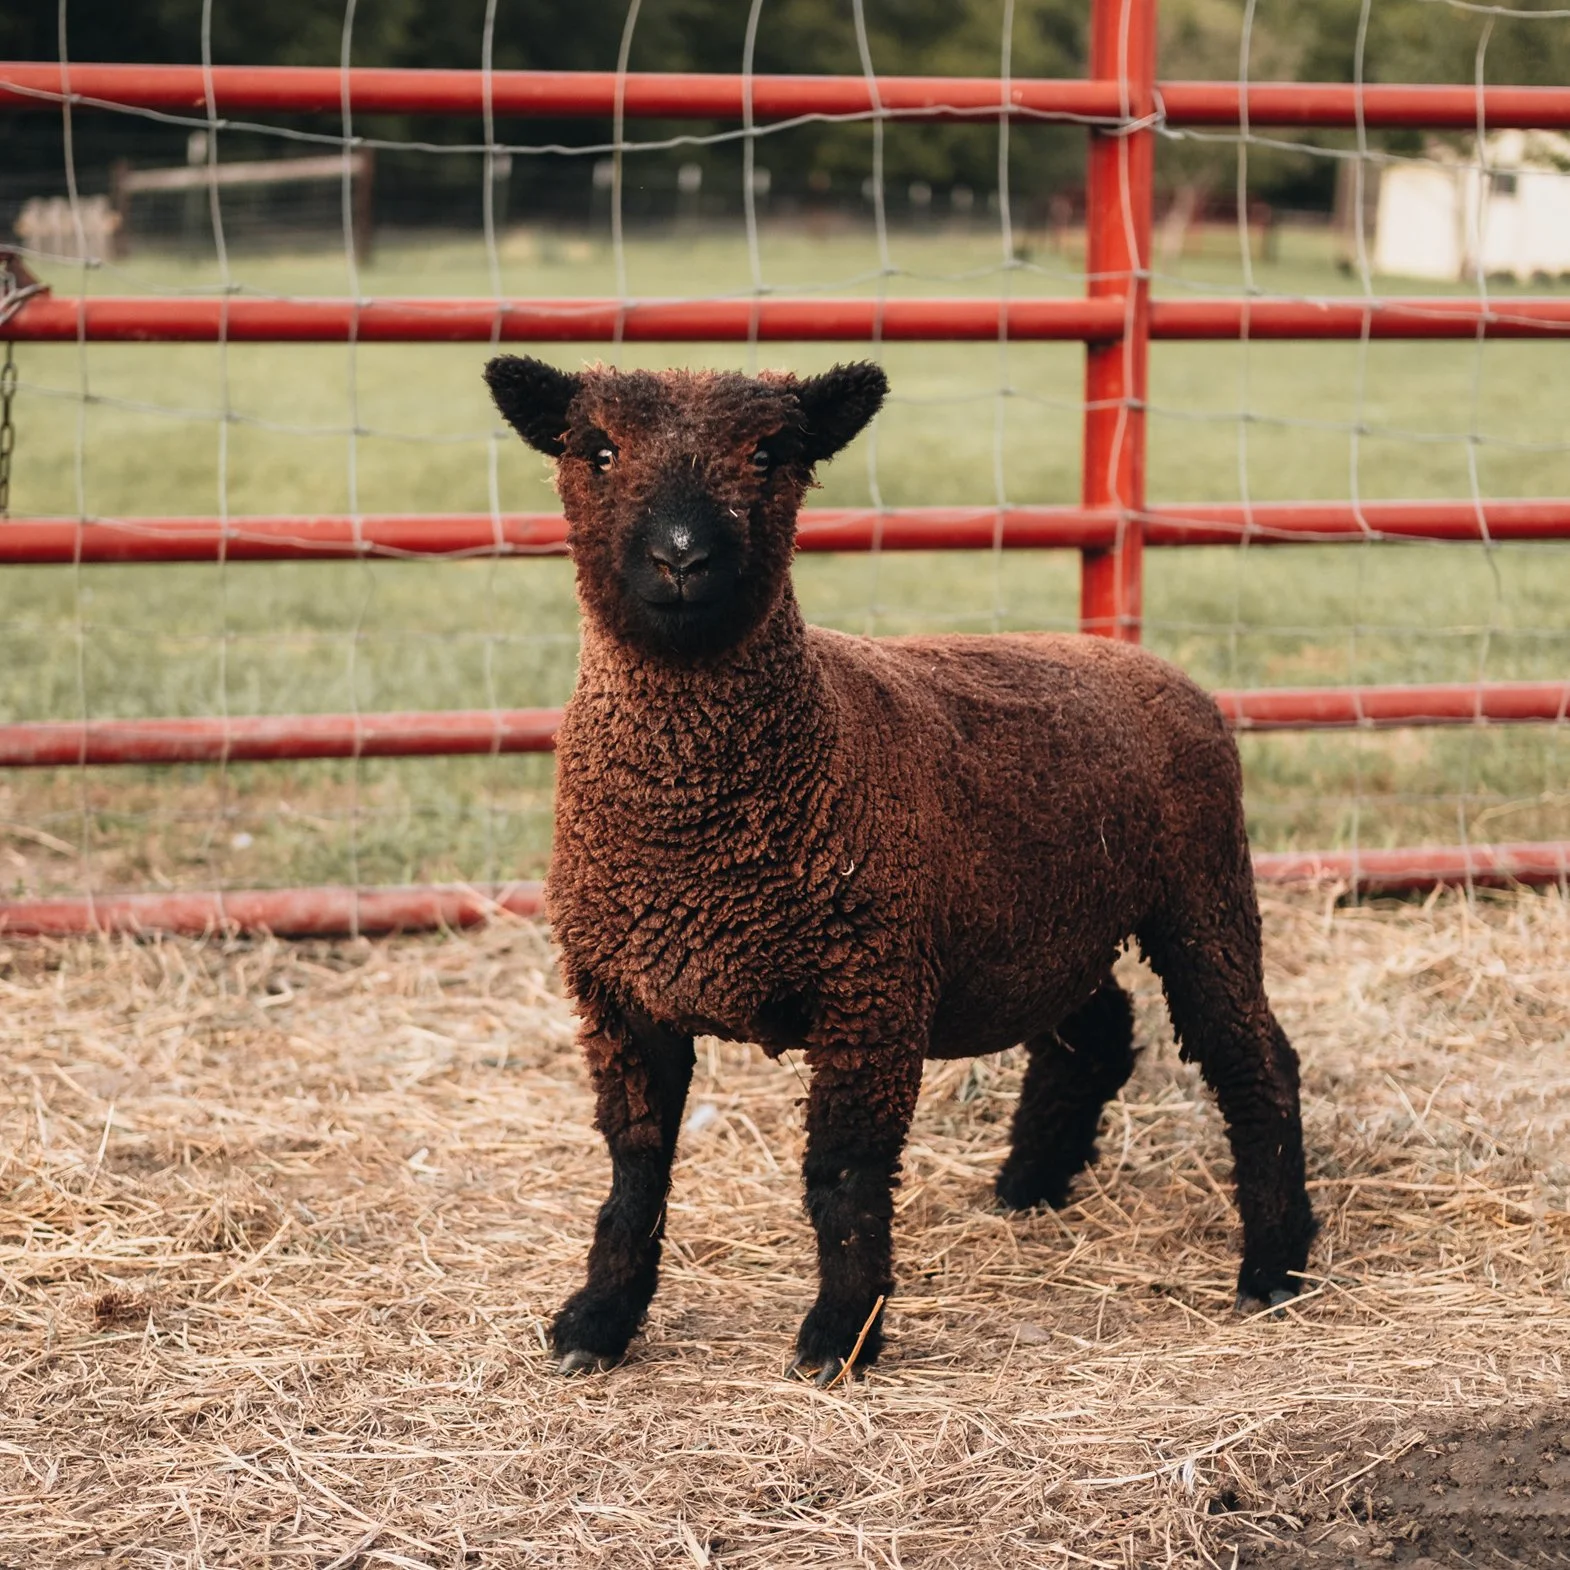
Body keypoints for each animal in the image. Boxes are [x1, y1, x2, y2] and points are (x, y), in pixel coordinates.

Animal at [484, 353, 1316, 1384]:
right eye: (596, 451)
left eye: (772, 454)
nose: (682, 558)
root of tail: (1152, 666)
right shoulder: (619, 989)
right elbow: (634, 1167)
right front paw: (597, 1320)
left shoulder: (868, 987)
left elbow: (843, 1174)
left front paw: (838, 1337)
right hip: (1041, 920)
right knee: (1097, 1031)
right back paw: (1028, 1186)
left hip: (1202, 890)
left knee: (1253, 1056)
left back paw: (1274, 1268)